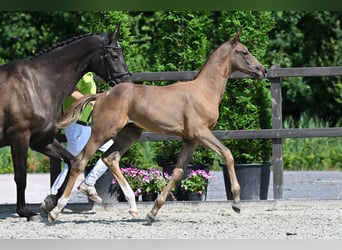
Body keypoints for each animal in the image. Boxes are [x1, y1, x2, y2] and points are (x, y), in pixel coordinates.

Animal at [48, 30, 268, 223]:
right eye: (244, 51)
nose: (263, 70)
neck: (204, 90)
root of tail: (102, 95)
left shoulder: (190, 139)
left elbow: (178, 172)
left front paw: (152, 213)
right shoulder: (202, 132)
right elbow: (227, 154)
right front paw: (237, 203)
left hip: (129, 134)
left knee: (110, 158)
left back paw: (132, 207)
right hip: (102, 132)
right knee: (80, 161)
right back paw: (55, 211)